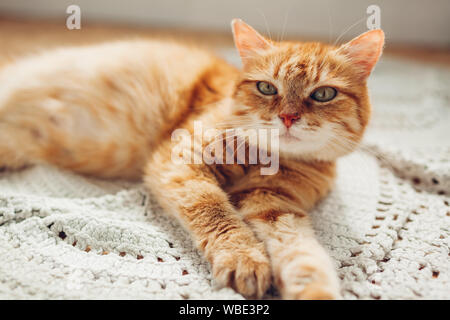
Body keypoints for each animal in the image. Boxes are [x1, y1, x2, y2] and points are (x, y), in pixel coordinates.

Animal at [0, 20, 384, 300]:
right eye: (266, 88)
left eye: (323, 94)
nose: (288, 117)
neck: (266, 157)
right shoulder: (182, 162)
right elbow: (218, 215)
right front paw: (244, 258)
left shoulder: (274, 204)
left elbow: (303, 254)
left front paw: (313, 289)